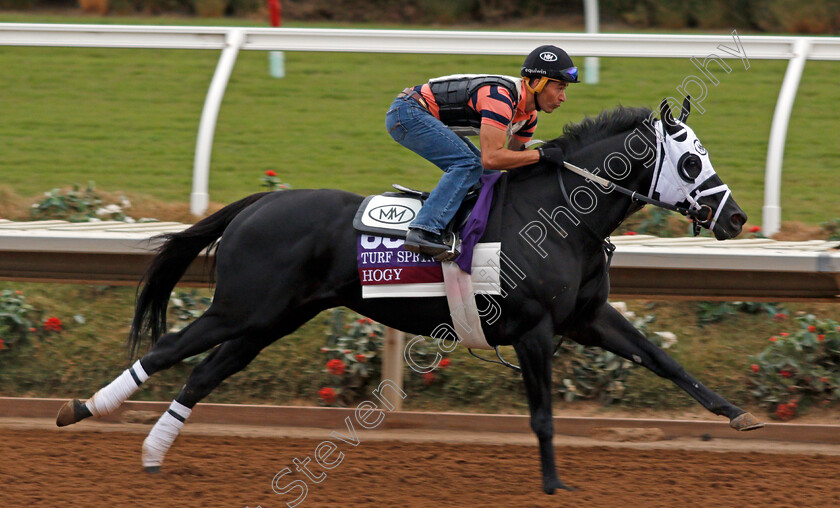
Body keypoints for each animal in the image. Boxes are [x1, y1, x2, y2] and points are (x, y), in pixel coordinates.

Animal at [54, 98, 760, 492]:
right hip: (242, 307)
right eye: (691, 161)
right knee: (170, 346)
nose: (735, 218)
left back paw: (152, 452)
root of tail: (258, 205)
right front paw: (555, 483)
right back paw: (83, 410)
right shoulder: (534, 330)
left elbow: (663, 360)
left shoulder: (586, 316)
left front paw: (736, 414)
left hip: (271, 320)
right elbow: (542, 415)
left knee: (204, 371)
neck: (561, 214)